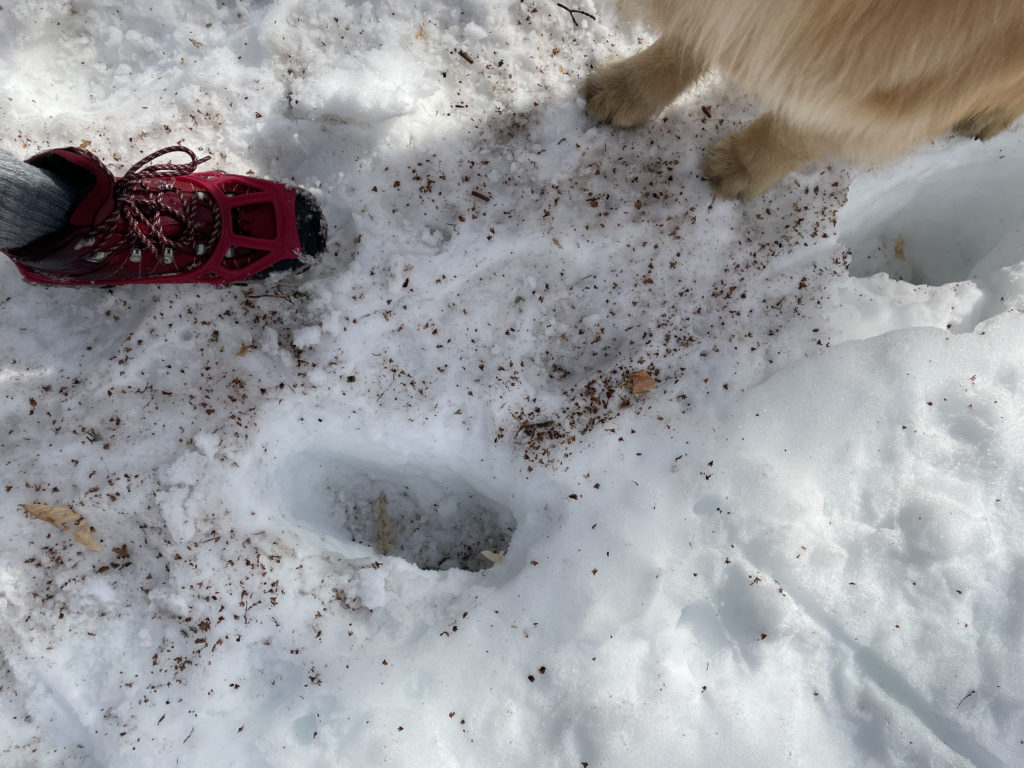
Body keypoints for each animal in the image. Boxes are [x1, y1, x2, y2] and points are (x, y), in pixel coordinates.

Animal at [585, 0, 1024, 198]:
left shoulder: (923, 77)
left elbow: (804, 129)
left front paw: (743, 166)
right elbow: (694, 36)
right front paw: (629, 87)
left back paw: (986, 117)